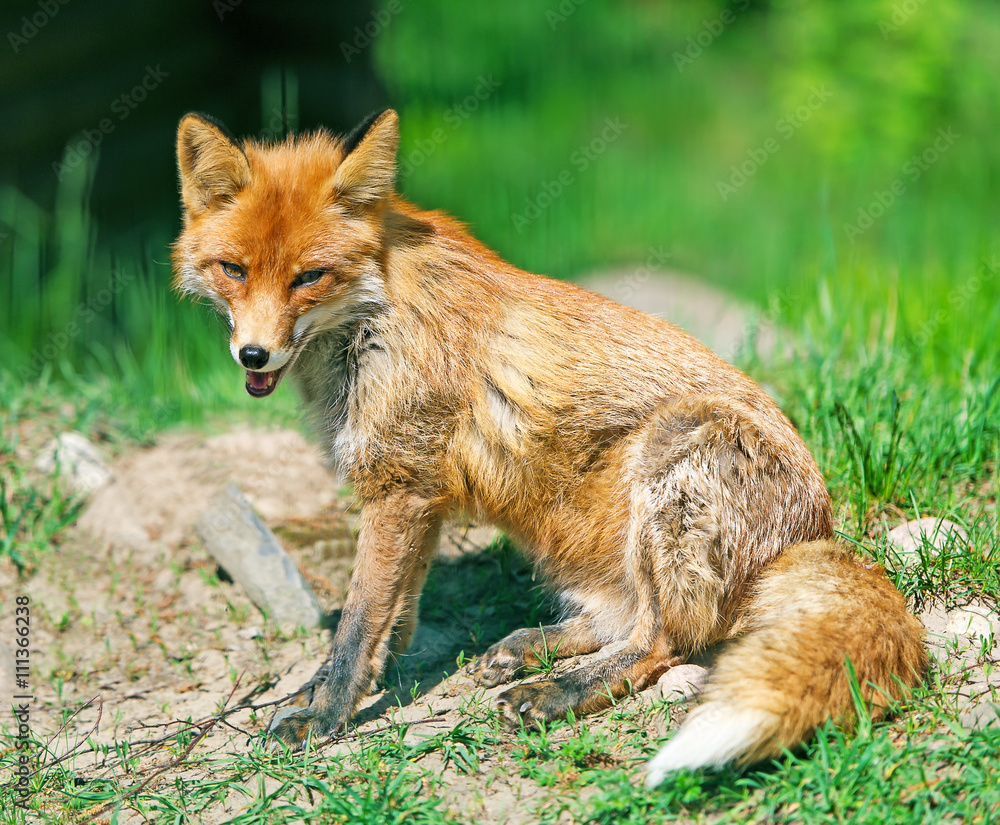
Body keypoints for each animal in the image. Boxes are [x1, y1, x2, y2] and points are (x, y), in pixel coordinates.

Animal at [170, 108, 920, 780]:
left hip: (674, 455)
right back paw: (529, 648)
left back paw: (556, 691)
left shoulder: (399, 490)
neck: (375, 319)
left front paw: (324, 716)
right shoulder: (419, 496)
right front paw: (323, 693)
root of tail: (816, 531)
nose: (253, 355)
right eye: (233, 269)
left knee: (664, 637)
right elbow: (389, 625)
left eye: (308, 277)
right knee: (629, 617)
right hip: (567, 532)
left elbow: (357, 625)